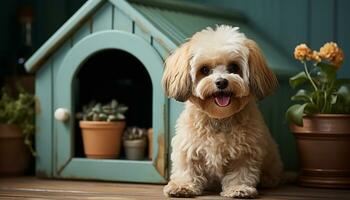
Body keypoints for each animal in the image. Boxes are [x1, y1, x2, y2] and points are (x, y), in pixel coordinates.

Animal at [163, 25, 284, 198]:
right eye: (205, 69)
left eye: (233, 67)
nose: (221, 82)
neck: (219, 118)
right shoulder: (188, 147)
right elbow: (187, 168)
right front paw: (183, 186)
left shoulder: (246, 152)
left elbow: (241, 173)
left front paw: (238, 188)